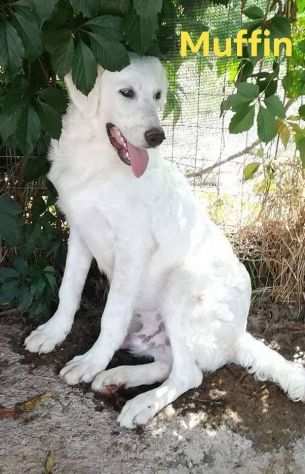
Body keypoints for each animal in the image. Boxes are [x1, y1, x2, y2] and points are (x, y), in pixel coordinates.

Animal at [24, 55, 304, 430]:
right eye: (126, 93)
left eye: (158, 96)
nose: (156, 136)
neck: (98, 162)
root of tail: (237, 334)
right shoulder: (80, 230)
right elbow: (69, 290)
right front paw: (53, 333)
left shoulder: (132, 246)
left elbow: (110, 316)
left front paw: (91, 362)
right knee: (168, 363)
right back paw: (118, 377)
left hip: (182, 283)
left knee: (188, 374)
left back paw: (140, 402)